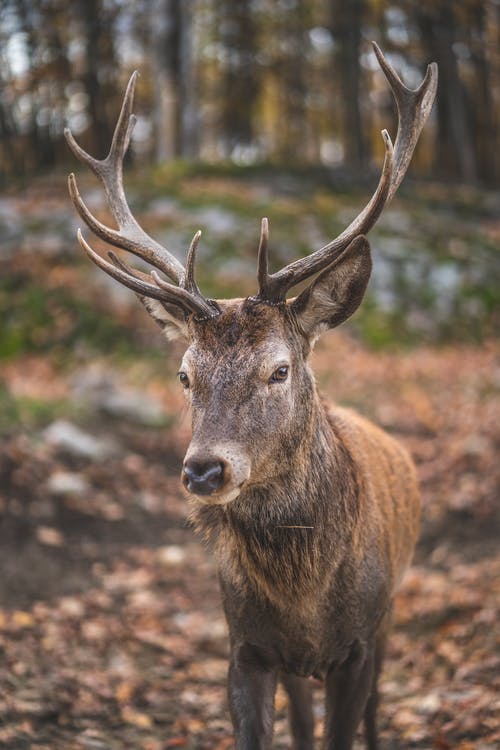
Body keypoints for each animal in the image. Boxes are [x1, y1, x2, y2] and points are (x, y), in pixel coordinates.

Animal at [64, 42, 436, 750]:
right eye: (185, 374)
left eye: (279, 370)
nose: (204, 470)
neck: (306, 604)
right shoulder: (246, 648)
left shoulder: (358, 646)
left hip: (392, 614)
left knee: (377, 707)